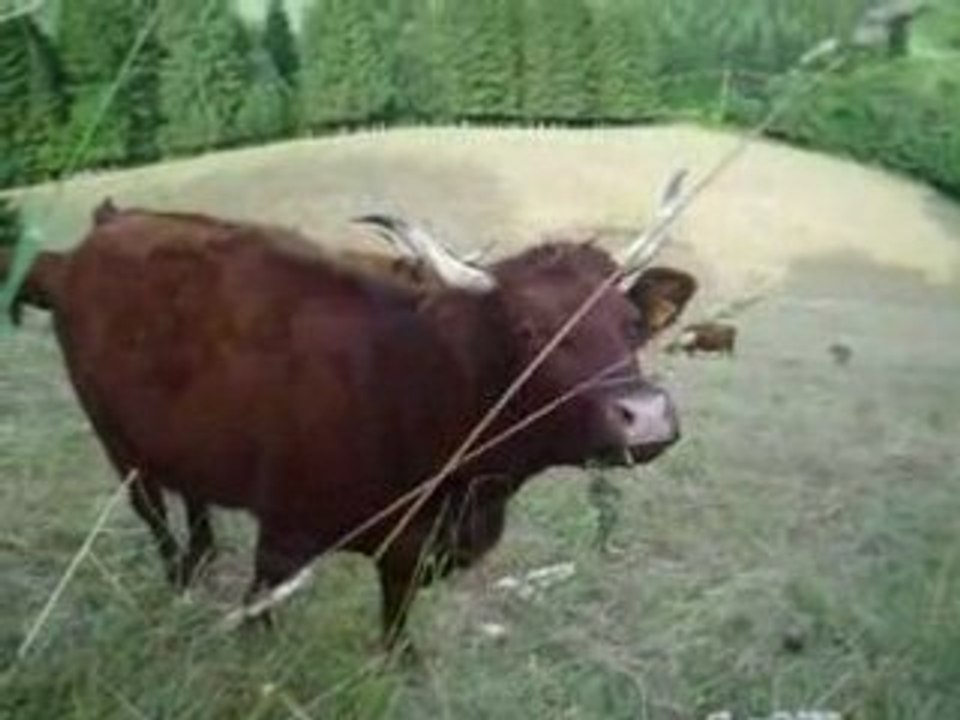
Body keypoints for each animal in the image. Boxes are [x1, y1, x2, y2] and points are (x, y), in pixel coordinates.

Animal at [0, 184, 697, 653]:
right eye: (529, 331)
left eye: (632, 325)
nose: (645, 415)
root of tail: (106, 227)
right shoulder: (282, 538)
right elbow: (260, 624)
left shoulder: (407, 553)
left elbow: (395, 638)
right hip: (117, 442)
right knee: (154, 517)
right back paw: (179, 580)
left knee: (193, 503)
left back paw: (201, 561)